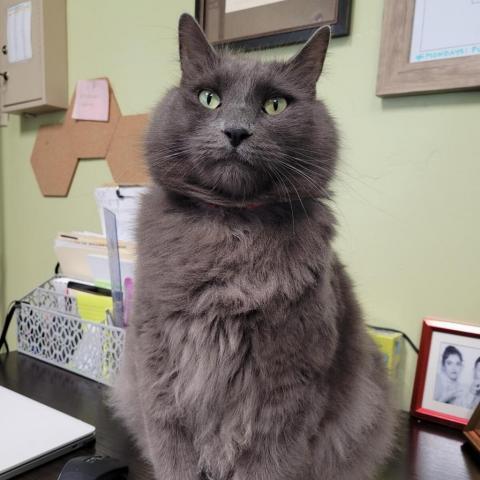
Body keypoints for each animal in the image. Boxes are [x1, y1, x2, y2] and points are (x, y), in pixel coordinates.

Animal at [110, 13, 396, 478]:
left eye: (275, 105)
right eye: (209, 98)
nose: (236, 131)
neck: (231, 234)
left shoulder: (287, 390)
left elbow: (266, 462)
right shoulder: (159, 374)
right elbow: (174, 457)